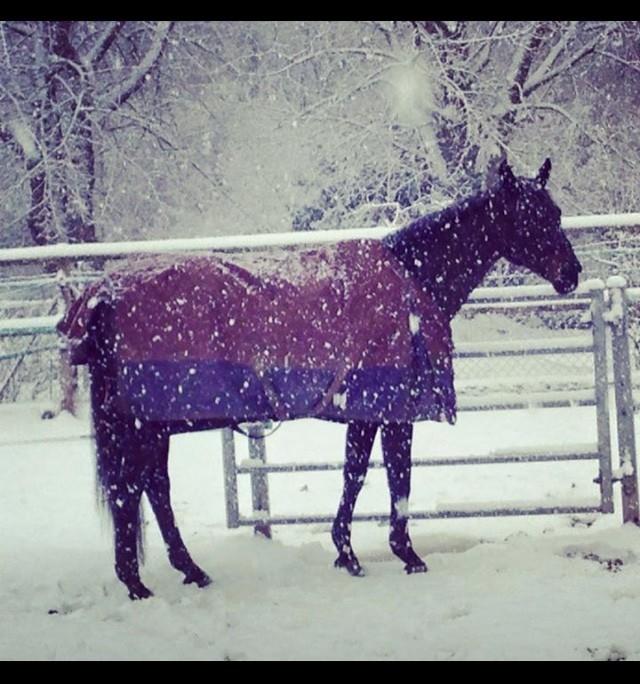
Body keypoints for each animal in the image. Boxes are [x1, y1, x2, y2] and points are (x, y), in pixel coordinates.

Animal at [58, 158, 582, 599]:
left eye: (555, 211)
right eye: (535, 217)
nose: (572, 274)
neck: (412, 279)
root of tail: (104, 294)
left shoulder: (365, 411)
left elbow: (355, 473)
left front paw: (346, 552)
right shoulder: (393, 410)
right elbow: (395, 476)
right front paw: (404, 554)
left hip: (149, 426)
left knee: (151, 489)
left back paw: (186, 571)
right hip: (144, 424)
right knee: (135, 491)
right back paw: (139, 584)